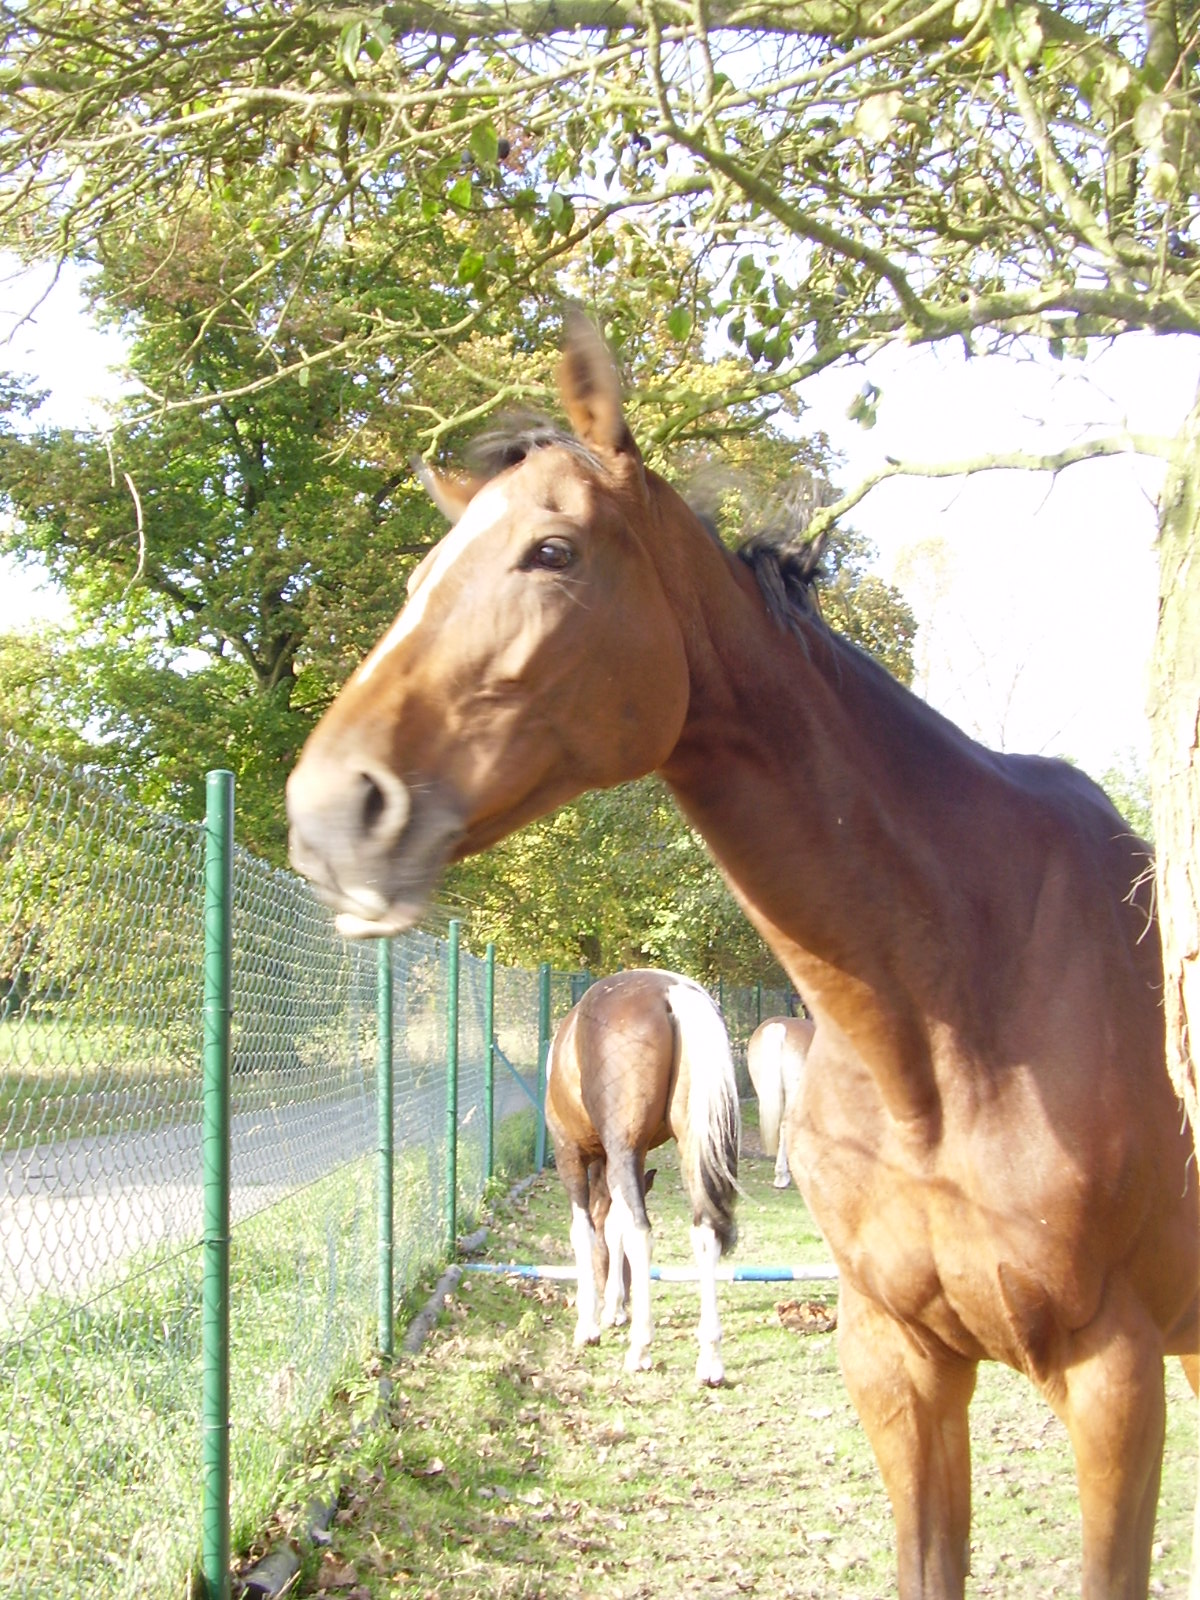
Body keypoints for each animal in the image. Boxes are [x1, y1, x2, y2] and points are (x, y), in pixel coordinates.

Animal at [547, 966, 742, 1382]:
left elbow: (587, 1231)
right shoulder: (625, 1161)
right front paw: (614, 1308)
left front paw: (589, 1325)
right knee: (705, 1234)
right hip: (691, 1147)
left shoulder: (571, 1154)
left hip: (618, 1151)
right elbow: (612, 1226)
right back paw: (710, 1360)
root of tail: (672, 991)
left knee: (641, 1232)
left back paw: (640, 1349)